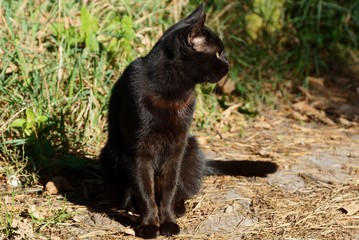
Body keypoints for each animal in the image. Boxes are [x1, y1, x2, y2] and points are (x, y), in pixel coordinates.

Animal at [100, 3, 231, 238]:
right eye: (217, 53)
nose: (229, 64)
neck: (172, 93)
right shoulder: (138, 152)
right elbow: (145, 192)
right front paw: (150, 225)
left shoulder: (177, 148)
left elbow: (169, 189)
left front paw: (168, 221)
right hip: (108, 155)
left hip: (192, 148)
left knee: (182, 190)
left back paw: (178, 208)